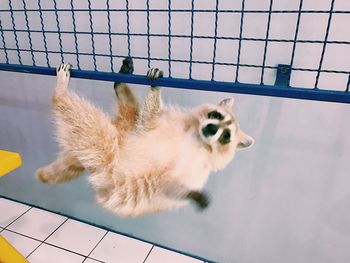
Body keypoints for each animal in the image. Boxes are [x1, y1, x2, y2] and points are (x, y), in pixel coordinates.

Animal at [36, 58, 254, 218]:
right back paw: (119, 83)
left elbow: (169, 185)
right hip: (123, 133)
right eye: (216, 115)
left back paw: (60, 94)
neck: (197, 137)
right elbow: (148, 118)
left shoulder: (197, 168)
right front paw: (154, 87)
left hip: (106, 161)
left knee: (86, 122)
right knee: (131, 112)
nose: (210, 127)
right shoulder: (169, 123)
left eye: (226, 135)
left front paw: (192, 194)